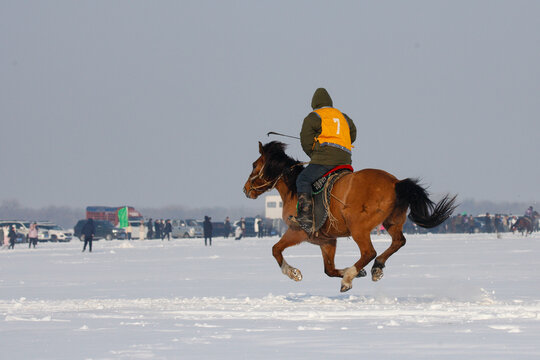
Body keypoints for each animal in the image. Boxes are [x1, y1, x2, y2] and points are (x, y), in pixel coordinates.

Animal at [243, 141, 458, 292]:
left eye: (254, 165)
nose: (246, 189)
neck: (293, 189)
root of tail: (396, 183)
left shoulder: (297, 232)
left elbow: (276, 249)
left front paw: (293, 272)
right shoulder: (327, 240)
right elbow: (329, 270)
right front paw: (357, 272)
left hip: (358, 228)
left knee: (369, 252)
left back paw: (349, 278)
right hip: (392, 222)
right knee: (398, 242)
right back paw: (375, 268)